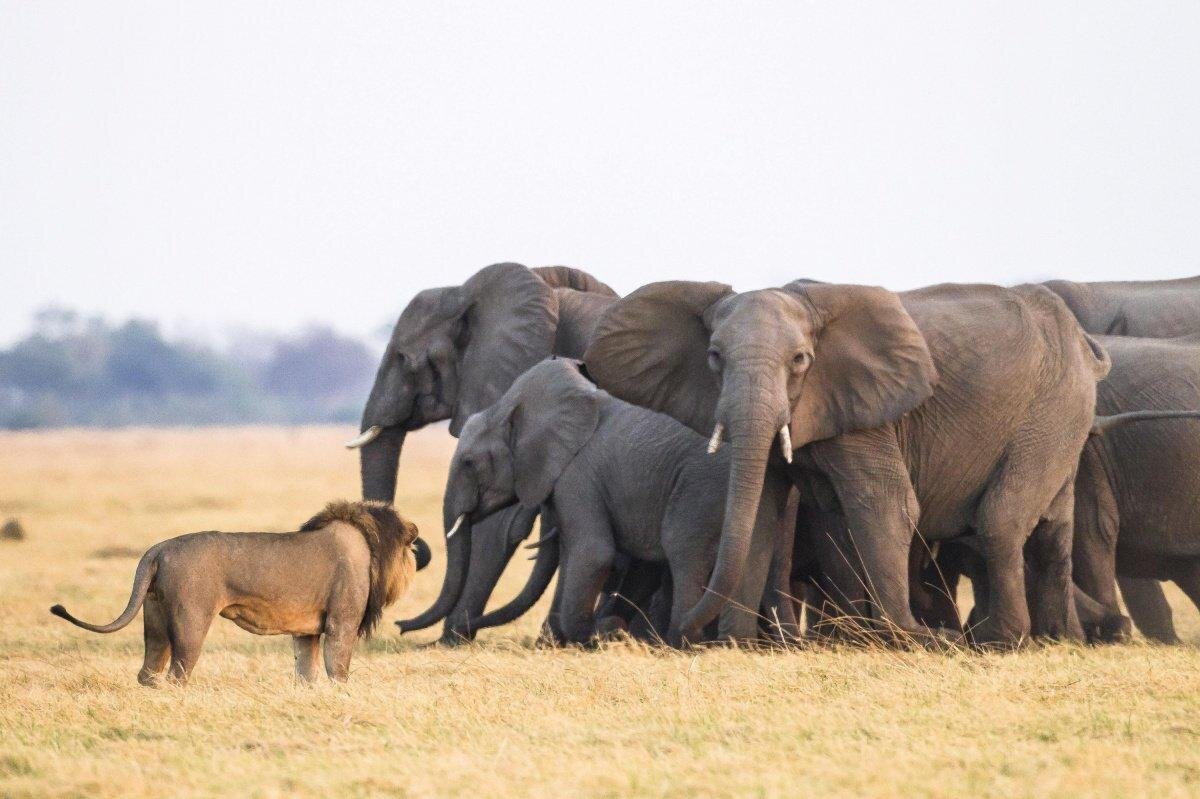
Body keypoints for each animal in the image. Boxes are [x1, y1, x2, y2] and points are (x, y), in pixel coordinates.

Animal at [50, 501, 422, 681]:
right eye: (410, 547)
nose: (418, 557)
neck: (369, 546)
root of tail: (158, 549)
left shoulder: (306, 632)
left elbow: (306, 672)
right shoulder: (341, 622)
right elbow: (338, 669)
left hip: (153, 617)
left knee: (148, 672)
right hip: (191, 618)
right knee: (178, 672)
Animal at [436, 357, 792, 643]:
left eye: (468, 463)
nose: (464, 630)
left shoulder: (578, 477)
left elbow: (594, 554)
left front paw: (597, 635)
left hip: (700, 487)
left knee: (684, 553)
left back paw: (680, 641)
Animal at [585, 277, 1108, 643]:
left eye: (800, 360)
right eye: (714, 357)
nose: (680, 634)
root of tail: (1084, 345)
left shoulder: (868, 415)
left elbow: (886, 504)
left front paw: (904, 639)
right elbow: (762, 512)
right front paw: (738, 644)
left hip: (1053, 407)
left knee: (1001, 519)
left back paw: (1000, 641)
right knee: (1054, 529)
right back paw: (1059, 640)